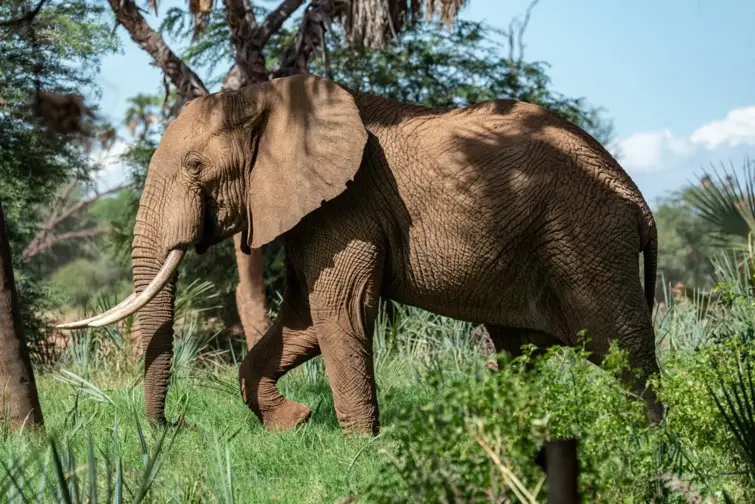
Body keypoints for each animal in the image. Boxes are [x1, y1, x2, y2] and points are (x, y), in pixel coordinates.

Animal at [58, 74, 662, 434]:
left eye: (194, 167)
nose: (173, 428)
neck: (268, 95)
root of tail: (638, 198)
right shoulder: (313, 210)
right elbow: (302, 319)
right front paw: (293, 422)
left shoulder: (348, 205)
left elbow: (338, 310)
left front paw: (361, 448)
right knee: (523, 352)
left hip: (587, 238)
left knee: (623, 349)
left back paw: (651, 446)